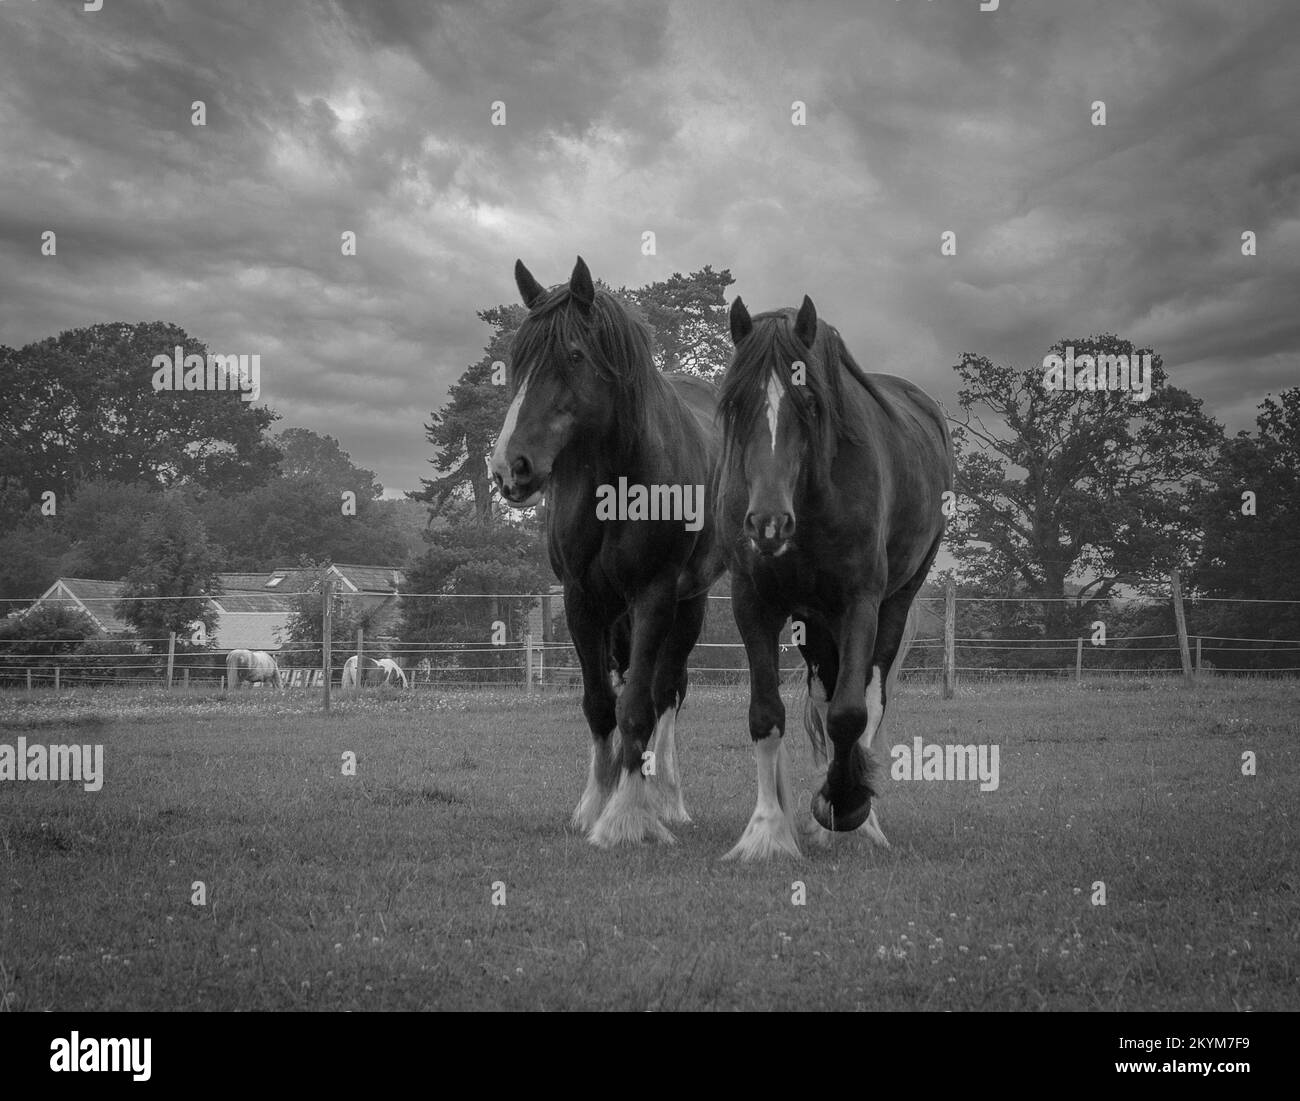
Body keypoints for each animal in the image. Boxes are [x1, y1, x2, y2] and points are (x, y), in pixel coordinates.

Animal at [489, 256, 725, 846]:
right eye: (517, 359)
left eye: (573, 355)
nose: (509, 467)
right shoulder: (580, 598)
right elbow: (600, 705)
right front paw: (596, 803)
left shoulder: (654, 595)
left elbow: (638, 707)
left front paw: (627, 817)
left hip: (689, 605)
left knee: (668, 694)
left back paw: (666, 799)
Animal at [717, 294, 952, 859]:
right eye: (734, 404)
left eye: (809, 403)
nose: (767, 523)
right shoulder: (753, 602)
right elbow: (766, 715)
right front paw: (766, 832)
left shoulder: (859, 601)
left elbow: (851, 714)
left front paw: (844, 805)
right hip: (814, 622)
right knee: (824, 699)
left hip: (893, 604)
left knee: (869, 698)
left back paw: (858, 818)